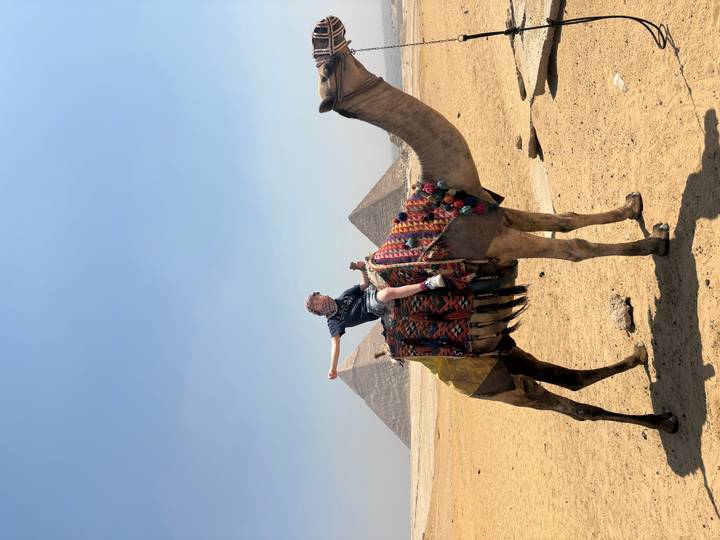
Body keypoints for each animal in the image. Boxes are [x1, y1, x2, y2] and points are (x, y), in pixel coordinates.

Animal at [311, 16, 678, 433]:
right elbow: (575, 249)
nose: (324, 25)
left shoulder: (500, 216)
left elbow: (565, 221)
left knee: (560, 377)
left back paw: (640, 364)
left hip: (497, 356)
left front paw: (633, 207)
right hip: (491, 385)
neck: (442, 186)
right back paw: (660, 418)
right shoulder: (495, 240)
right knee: (558, 401)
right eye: (325, 71)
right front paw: (655, 242)